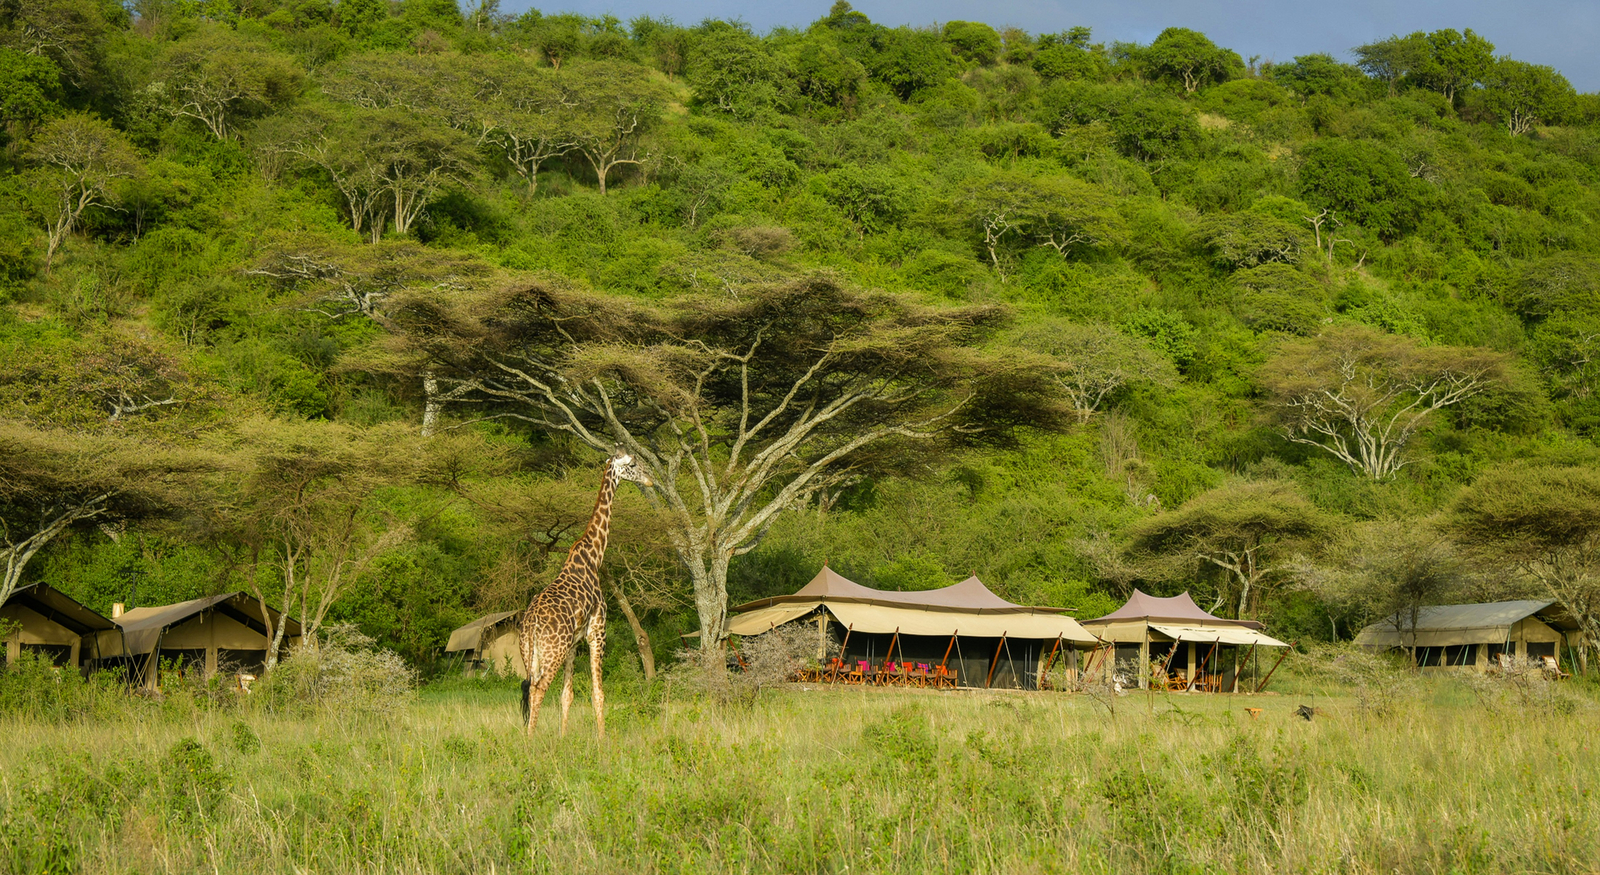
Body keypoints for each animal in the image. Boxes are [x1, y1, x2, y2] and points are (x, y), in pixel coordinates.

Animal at [518, 450, 652, 738]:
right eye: (633, 464)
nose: (649, 480)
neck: (593, 556)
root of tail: (532, 623)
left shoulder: (574, 643)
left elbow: (567, 695)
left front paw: (563, 737)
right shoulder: (597, 632)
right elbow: (598, 693)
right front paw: (602, 740)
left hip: (529, 653)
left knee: (529, 687)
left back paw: (529, 737)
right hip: (552, 652)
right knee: (538, 689)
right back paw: (530, 741)